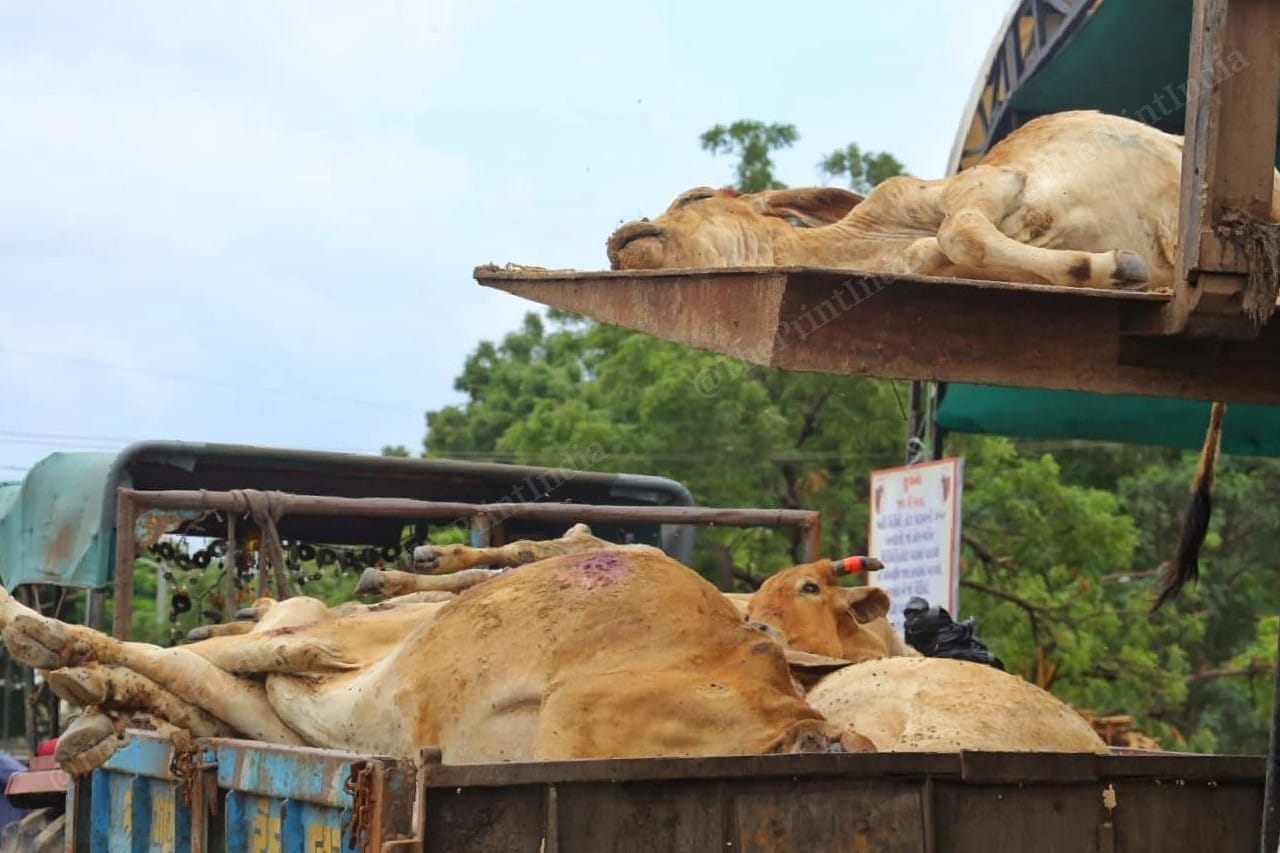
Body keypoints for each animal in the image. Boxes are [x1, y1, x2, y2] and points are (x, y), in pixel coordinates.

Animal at [606, 110, 1280, 610]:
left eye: (693, 197)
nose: (622, 236)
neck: (873, 239)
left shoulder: (985, 186)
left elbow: (961, 232)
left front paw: (1117, 264)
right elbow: (949, 249)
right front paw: (1113, 266)